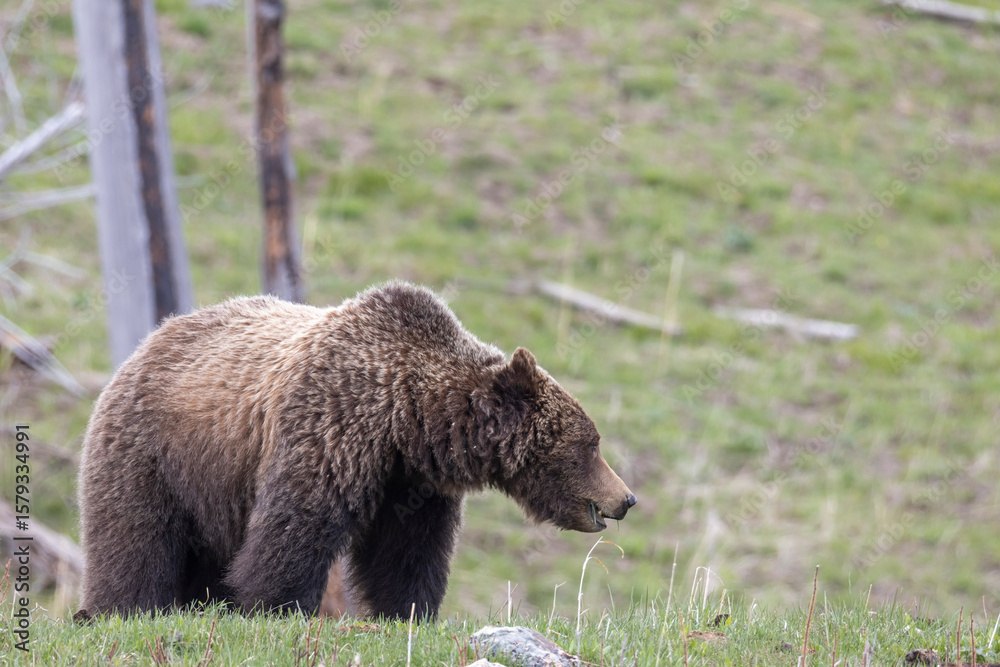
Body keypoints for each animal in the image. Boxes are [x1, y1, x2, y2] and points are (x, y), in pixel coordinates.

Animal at [76, 281, 636, 620]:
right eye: (591, 445)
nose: (626, 498)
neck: (406, 418)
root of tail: (148, 341)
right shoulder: (329, 426)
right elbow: (296, 526)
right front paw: (273, 605)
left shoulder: (413, 483)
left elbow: (407, 552)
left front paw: (407, 612)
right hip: (156, 453)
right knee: (136, 539)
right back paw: (118, 609)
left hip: (211, 486)